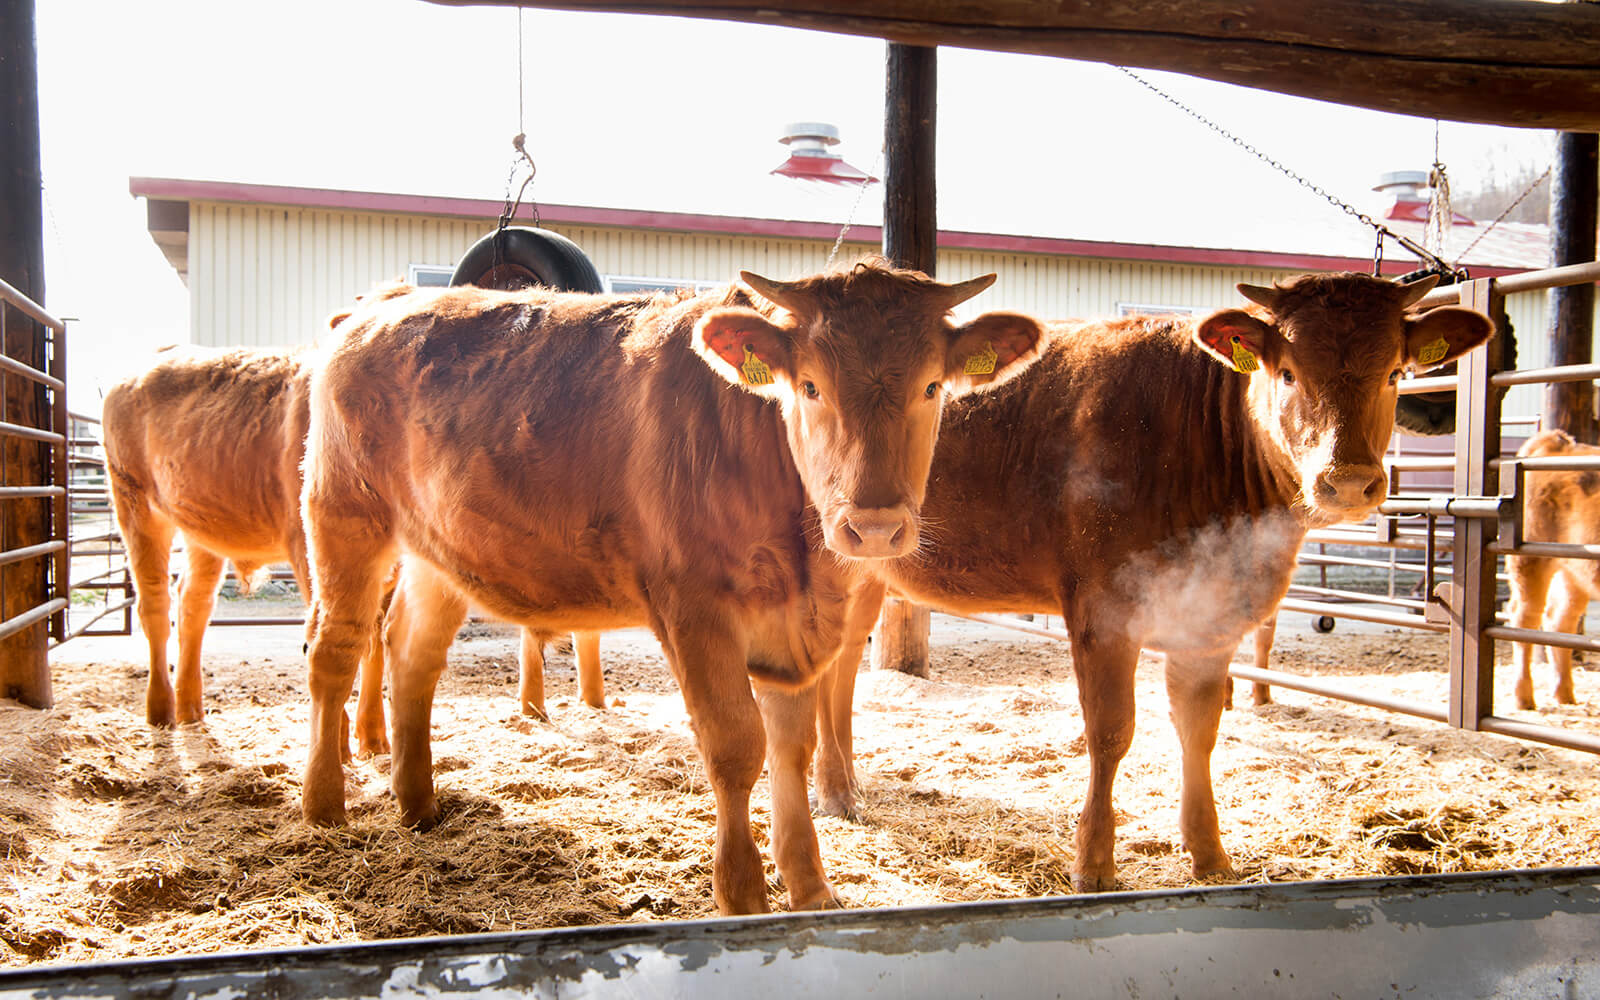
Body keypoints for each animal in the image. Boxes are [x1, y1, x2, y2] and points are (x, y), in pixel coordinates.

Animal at [102, 342, 387, 748]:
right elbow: (329, 633)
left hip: (202, 525)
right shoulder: (310, 548)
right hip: (134, 501)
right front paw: (338, 744)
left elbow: (374, 641)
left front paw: (374, 739)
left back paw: (190, 708)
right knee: (154, 604)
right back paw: (161, 709)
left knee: (193, 602)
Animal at [300, 259, 1049, 915]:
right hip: (345, 516)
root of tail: (381, 304)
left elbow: (792, 749)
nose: (873, 527)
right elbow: (736, 747)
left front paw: (811, 889)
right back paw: (324, 806)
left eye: (932, 388)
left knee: (411, 653)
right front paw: (741, 894)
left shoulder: (794, 627)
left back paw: (419, 804)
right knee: (335, 650)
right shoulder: (694, 609)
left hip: (438, 552)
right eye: (809, 387)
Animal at [819, 273, 1491, 889]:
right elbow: (1111, 732)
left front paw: (1210, 855)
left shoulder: (1209, 615)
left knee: (843, 665)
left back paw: (842, 788)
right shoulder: (1104, 610)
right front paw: (1094, 865)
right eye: (1288, 373)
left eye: (1396, 373)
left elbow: (1199, 731)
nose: (1348, 481)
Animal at [1504, 428, 1593, 710]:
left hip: (1574, 572)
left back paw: (1564, 694)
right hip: (1531, 562)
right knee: (1525, 617)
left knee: (1560, 620)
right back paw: (1524, 698)